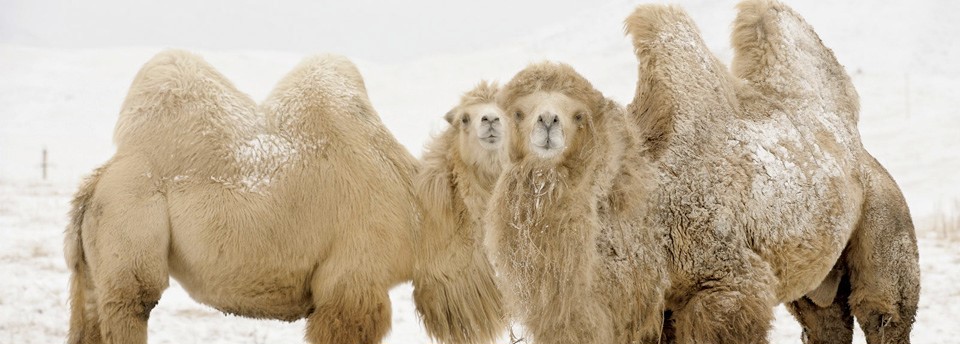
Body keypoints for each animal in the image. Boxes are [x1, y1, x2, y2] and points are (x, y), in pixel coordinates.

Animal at [62, 49, 496, 342]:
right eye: (464, 117)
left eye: (504, 110)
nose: (490, 122)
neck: (418, 211)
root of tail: (97, 181)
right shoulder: (352, 284)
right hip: (129, 233)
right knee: (133, 303)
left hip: (96, 268)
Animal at [624, 1, 924, 342]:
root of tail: (864, 153)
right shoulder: (660, 304)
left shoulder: (727, 286)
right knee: (824, 319)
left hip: (884, 213)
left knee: (882, 310)